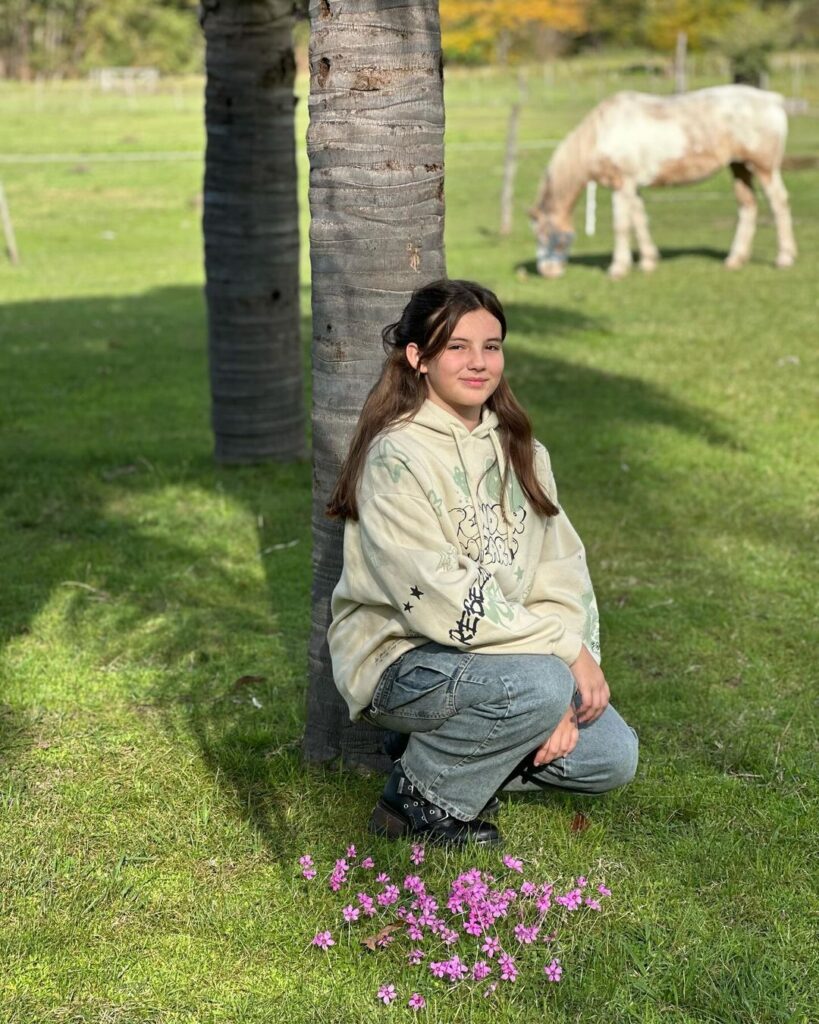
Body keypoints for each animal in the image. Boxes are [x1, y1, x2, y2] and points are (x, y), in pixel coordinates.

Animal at [529, 85, 797, 279]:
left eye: (545, 235)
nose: (547, 272)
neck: (602, 133)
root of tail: (773, 99)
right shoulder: (633, 187)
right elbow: (639, 220)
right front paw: (648, 262)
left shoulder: (622, 185)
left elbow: (622, 225)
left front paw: (618, 268)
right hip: (739, 167)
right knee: (748, 206)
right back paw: (735, 260)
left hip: (764, 168)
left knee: (779, 204)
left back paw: (784, 258)